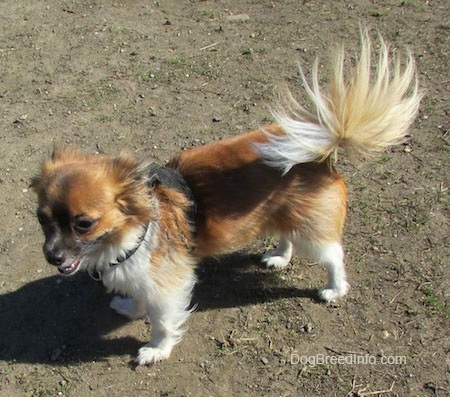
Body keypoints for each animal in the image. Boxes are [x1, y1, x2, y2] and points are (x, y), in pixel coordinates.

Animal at [31, 30, 422, 366]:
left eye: (84, 224)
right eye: (42, 219)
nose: (52, 256)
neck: (129, 231)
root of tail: (322, 151)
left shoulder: (169, 284)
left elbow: (162, 321)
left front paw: (156, 350)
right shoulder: (144, 275)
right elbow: (141, 298)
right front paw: (131, 308)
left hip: (313, 231)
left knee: (333, 256)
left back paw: (334, 289)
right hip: (283, 215)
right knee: (287, 236)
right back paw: (279, 257)